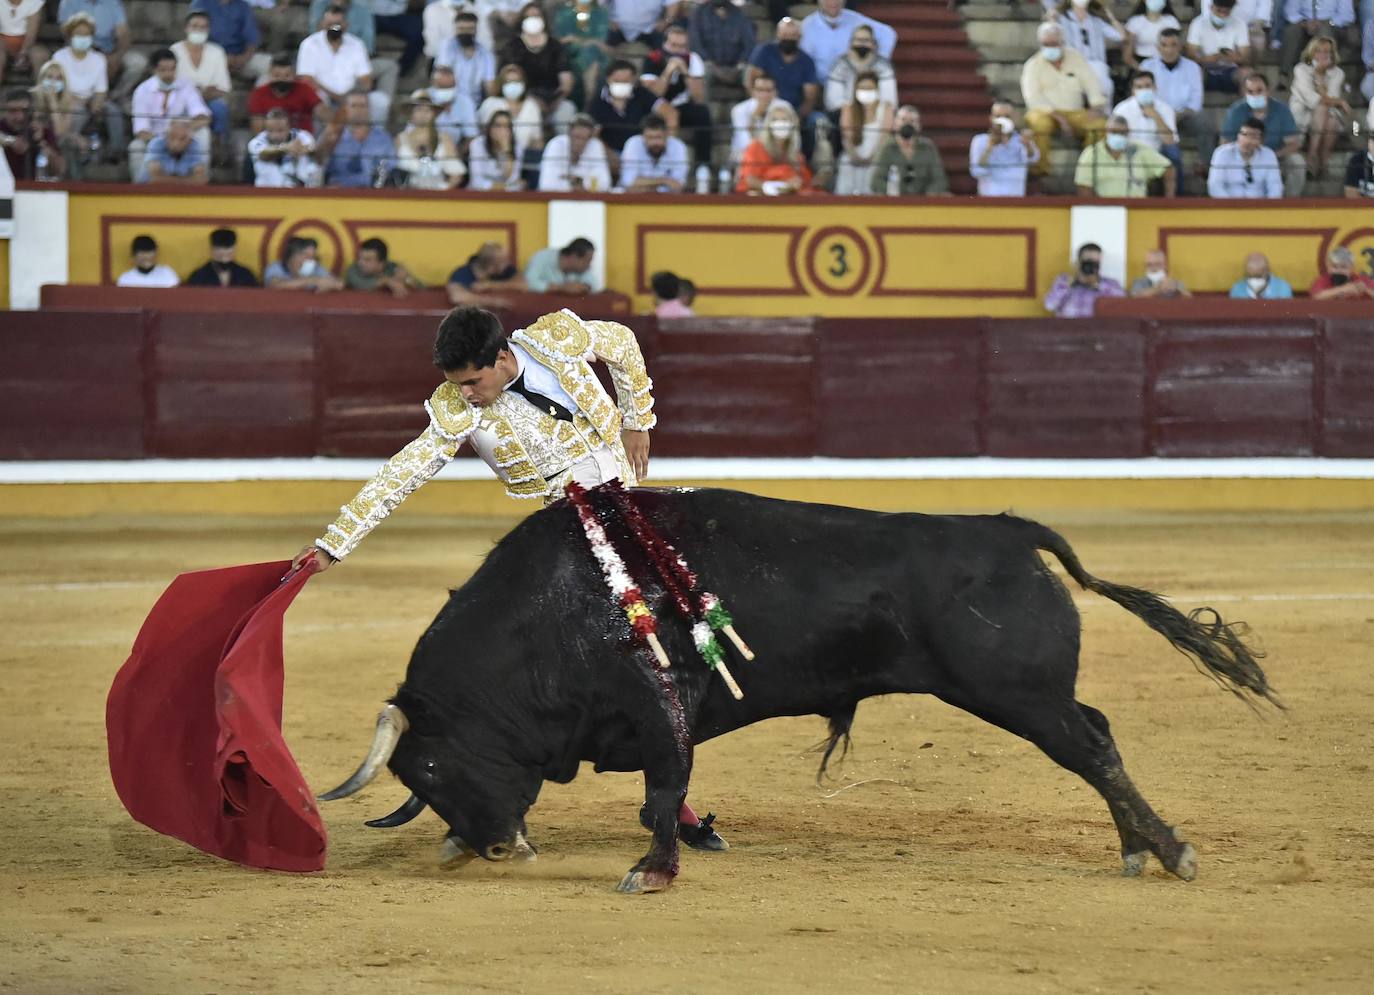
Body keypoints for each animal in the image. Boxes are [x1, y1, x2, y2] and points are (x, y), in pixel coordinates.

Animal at [321, 489, 1275, 896]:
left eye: (430, 768)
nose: (487, 847)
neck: (553, 608)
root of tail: (1009, 530)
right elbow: (662, 792)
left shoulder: (661, 709)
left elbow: (662, 791)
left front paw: (650, 868)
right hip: (1032, 693)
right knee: (1098, 735)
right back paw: (1139, 847)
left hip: (1018, 694)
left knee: (1094, 747)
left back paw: (1170, 850)